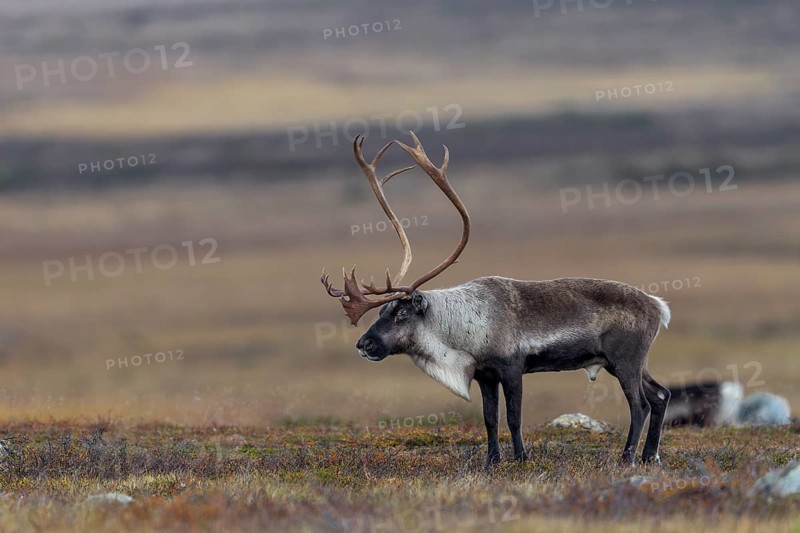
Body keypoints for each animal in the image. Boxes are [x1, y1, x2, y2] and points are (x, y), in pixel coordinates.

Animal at [322, 132, 672, 467]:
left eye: (401, 313)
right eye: (383, 310)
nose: (364, 344)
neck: (462, 328)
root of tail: (658, 306)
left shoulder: (512, 368)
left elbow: (514, 418)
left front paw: (521, 459)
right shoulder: (484, 375)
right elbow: (490, 419)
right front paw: (492, 461)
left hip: (625, 360)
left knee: (640, 404)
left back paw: (627, 457)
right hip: (625, 362)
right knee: (661, 395)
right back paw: (649, 455)